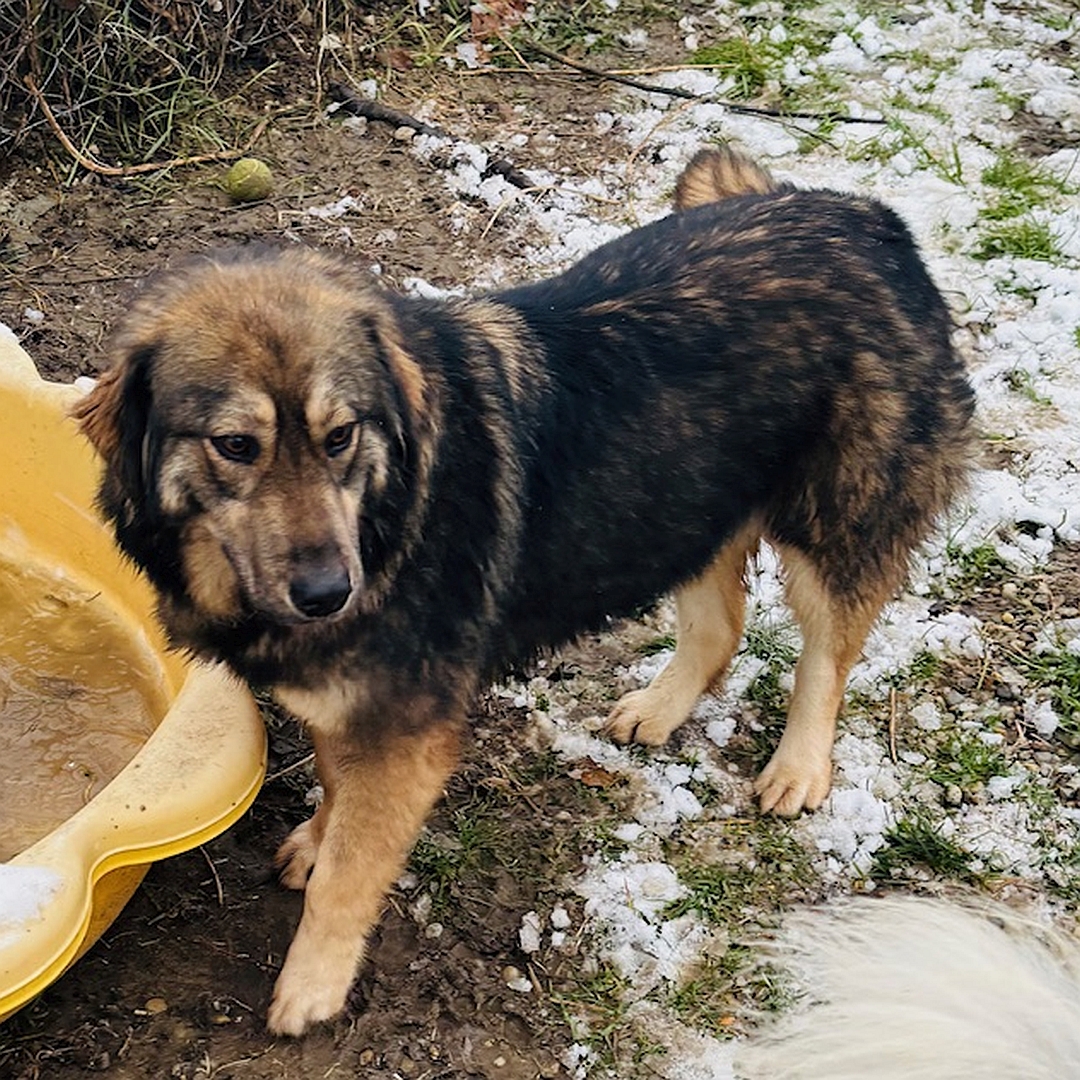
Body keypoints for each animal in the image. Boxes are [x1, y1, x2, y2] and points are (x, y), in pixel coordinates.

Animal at [73, 147, 972, 1032]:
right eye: (235, 445)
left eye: (340, 436)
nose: (331, 593)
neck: (388, 506)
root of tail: (861, 217)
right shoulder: (350, 700)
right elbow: (334, 780)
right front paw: (321, 834)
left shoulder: (406, 731)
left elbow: (350, 874)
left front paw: (313, 983)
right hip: (682, 505)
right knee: (719, 629)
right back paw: (662, 706)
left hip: (834, 522)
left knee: (827, 651)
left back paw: (798, 767)